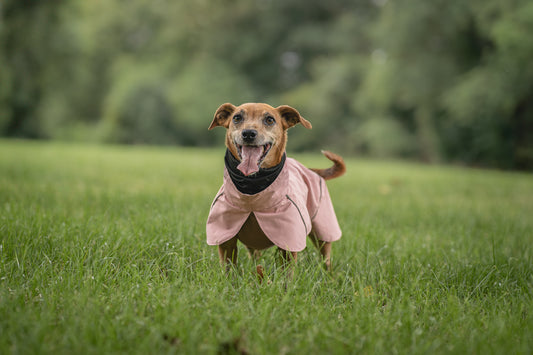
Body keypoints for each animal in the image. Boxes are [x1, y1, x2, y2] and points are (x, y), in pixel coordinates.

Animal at [204, 103, 344, 276]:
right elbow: (229, 269)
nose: (248, 133)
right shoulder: (225, 239)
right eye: (237, 118)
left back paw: (329, 276)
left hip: (322, 229)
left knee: (326, 257)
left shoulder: (288, 241)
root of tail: (311, 170)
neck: (252, 192)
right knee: (254, 255)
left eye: (270, 119)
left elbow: (287, 273)